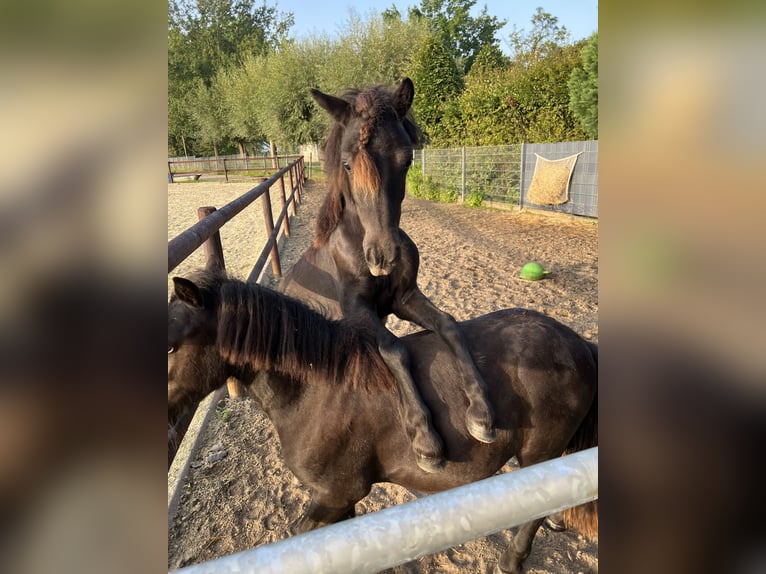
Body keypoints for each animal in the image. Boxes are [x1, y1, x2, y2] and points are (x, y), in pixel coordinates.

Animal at [168, 274, 600, 574]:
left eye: (171, 345)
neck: (317, 388)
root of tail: (578, 343)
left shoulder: (336, 495)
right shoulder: (339, 504)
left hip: (538, 454)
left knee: (535, 512)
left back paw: (512, 561)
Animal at [282, 80, 498, 476]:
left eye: (407, 159)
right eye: (347, 163)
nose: (382, 257)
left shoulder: (404, 297)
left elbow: (449, 325)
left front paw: (481, 413)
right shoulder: (358, 313)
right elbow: (394, 349)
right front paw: (425, 440)